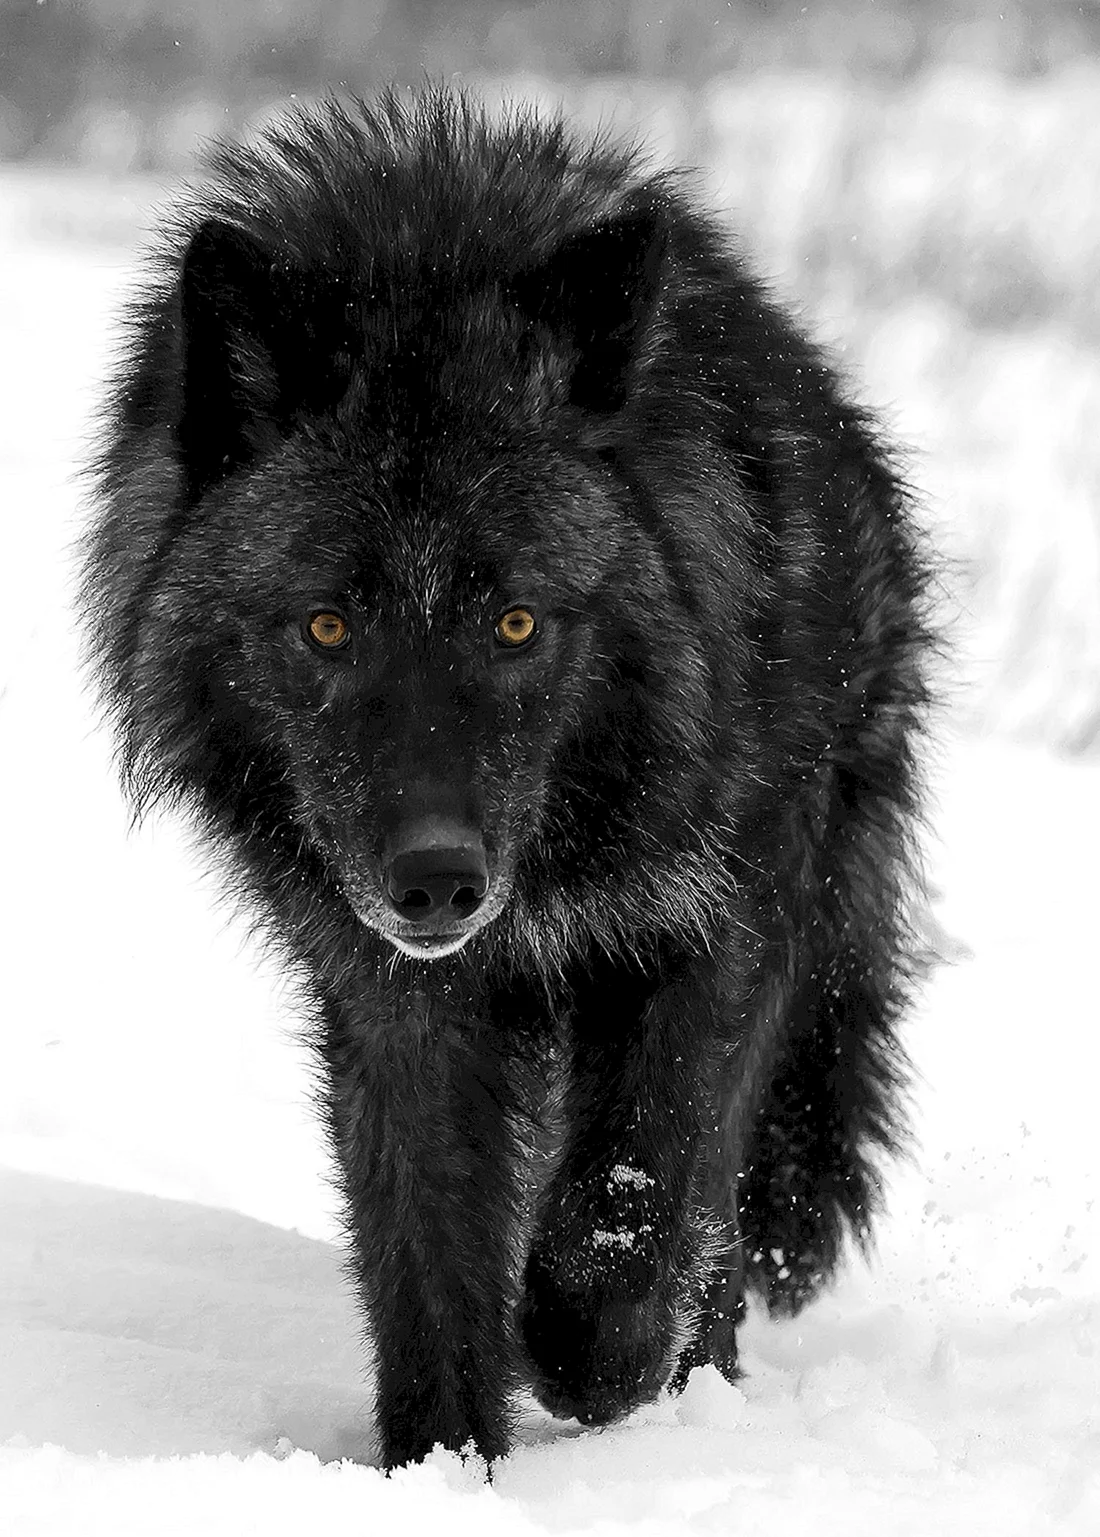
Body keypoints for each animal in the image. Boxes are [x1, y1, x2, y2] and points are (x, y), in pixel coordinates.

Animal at [79, 90, 932, 1469]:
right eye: (327, 626)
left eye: (517, 623)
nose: (435, 880)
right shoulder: (392, 995)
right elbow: (425, 1260)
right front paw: (441, 1470)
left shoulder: (714, 931)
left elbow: (638, 1213)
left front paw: (591, 1360)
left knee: (715, 1215)